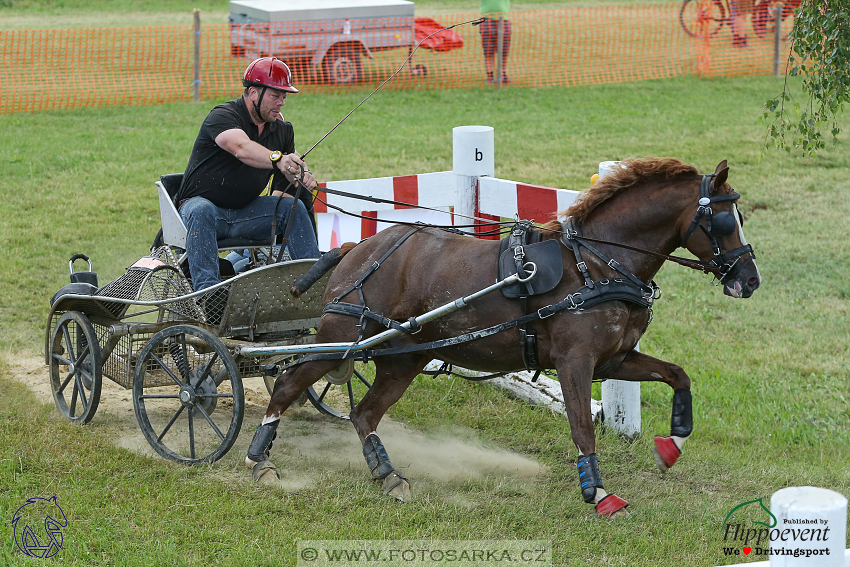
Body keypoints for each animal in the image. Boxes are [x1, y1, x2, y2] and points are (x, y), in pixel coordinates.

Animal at [242, 158, 760, 516]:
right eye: (723, 221)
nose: (750, 280)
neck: (596, 264)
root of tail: (357, 245)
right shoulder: (575, 361)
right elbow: (582, 424)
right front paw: (596, 491)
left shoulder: (615, 360)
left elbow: (678, 375)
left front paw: (672, 445)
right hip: (342, 338)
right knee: (288, 382)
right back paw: (259, 459)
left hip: (402, 358)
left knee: (364, 412)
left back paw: (387, 474)